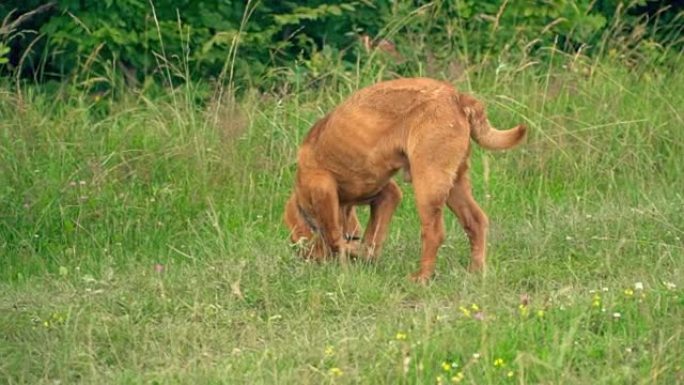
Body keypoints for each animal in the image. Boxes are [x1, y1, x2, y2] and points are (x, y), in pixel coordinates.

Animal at [284, 78, 524, 282]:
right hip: (454, 184)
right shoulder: (388, 195)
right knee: (475, 221)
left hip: (427, 183)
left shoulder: (323, 187)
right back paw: (475, 271)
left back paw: (421, 277)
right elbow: (372, 236)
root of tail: (457, 96)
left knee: (434, 233)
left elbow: (336, 239)